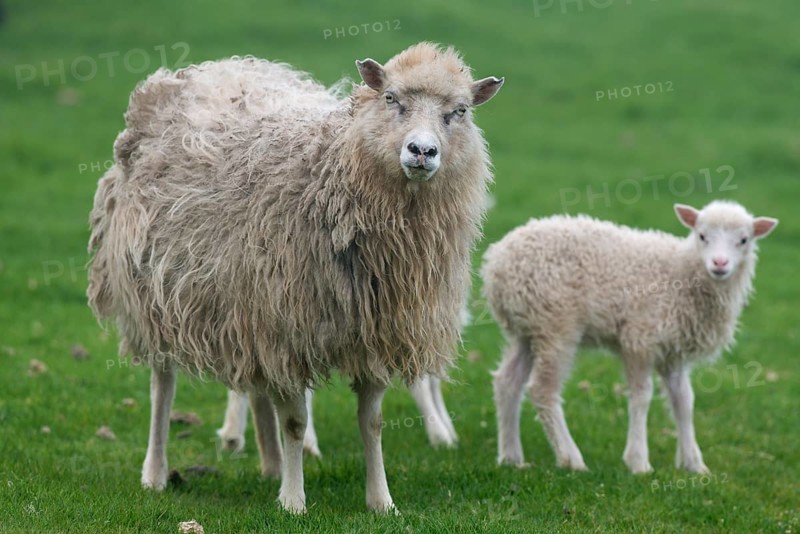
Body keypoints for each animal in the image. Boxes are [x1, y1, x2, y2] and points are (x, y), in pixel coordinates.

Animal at [482, 201, 777, 474]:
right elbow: (642, 395)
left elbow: (684, 401)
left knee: (507, 382)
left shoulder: (673, 352)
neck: (681, 271)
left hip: (527, 327)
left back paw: (511, 457)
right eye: (702, 235)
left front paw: (694, 464)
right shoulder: (639, 338)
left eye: (744, 240)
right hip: (556, 323)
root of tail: (496, 264)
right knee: (542, 389)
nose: (720, 263)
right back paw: (571, 458)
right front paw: (638, 461)